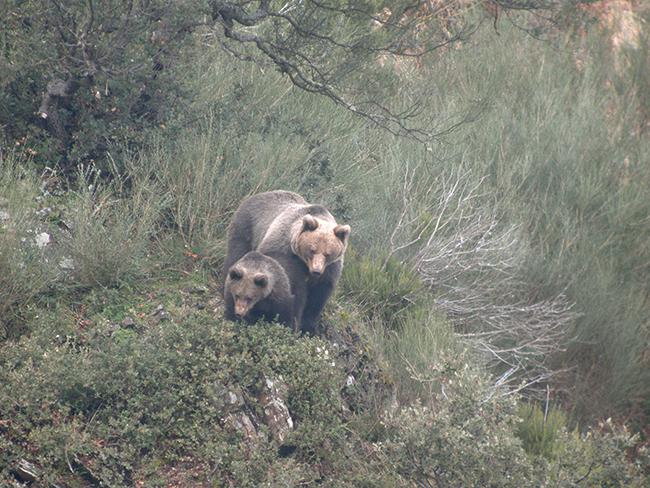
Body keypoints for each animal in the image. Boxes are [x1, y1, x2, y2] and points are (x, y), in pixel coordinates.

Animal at [225, 191, 352, 336]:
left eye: (328, 253)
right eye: (312, 250)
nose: (316, 270)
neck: (305, 264)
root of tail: (260, 194)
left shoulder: (330, 269)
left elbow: (318, 297)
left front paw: (308, 328)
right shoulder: (285, 253)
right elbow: (294, 291)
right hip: (246, 227)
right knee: (236, 253)